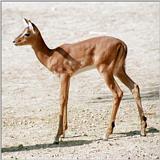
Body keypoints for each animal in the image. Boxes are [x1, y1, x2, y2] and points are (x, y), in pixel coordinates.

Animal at [13, 18, 147, 144]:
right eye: (22, 30)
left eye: (27, 33)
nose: (14, 41)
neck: (51, 55)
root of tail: (122, 43)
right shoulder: (69, 77)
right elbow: (67, 98)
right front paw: (63, 134)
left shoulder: (64, 76)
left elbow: (62, 100)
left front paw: (56, 137)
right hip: (119, 71)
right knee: (134, 87)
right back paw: (143, 130)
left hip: (106, 72)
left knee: (118, 93)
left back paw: (107, 133)